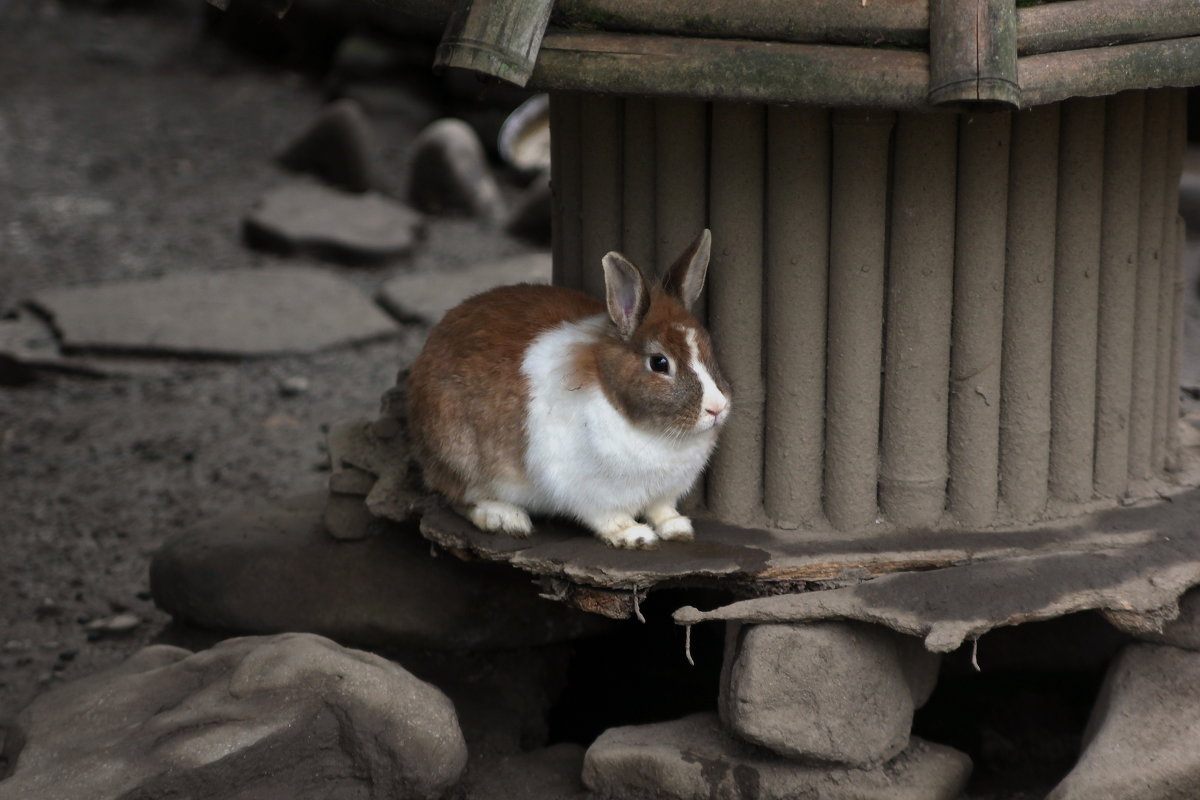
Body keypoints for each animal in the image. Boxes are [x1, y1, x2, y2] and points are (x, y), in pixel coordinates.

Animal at [405, 227, 729, 546]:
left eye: (708, 348)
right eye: (659, 363)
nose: (716, 408)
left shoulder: (664, 493)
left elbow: (661, 510)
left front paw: (677, 528)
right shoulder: (590, 491)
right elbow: (609, 517)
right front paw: (634, 536)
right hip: (460, 454)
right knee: (461, 497)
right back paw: (506, 518)